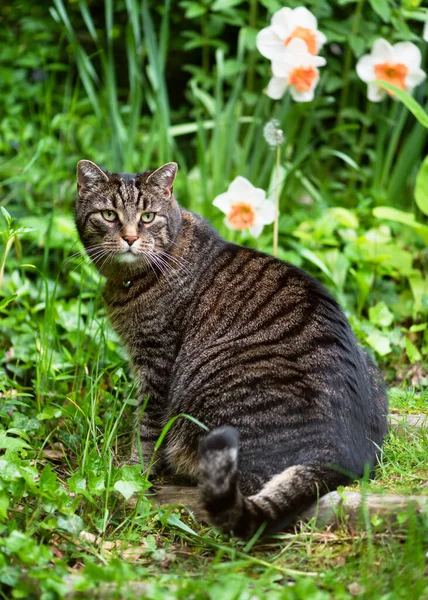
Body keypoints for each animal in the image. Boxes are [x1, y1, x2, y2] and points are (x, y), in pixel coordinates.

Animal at [76, 158, 388, 536]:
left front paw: (132, 472)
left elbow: (147, 428)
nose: (130, 238)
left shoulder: (157, 362)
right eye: (109, 215)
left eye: (148, 217)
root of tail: (340, 456)